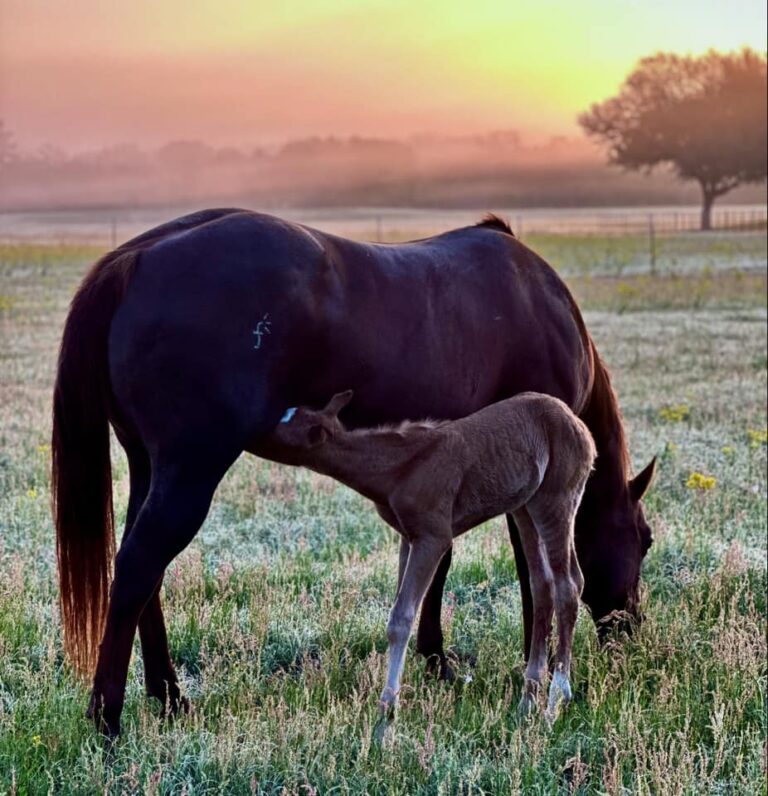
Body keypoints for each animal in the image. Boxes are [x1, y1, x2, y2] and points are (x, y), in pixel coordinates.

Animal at [261, 389, 597, 728]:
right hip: (524, 506)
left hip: (555, 498)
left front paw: (386, 717)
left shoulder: (432, 536)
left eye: (284, 426)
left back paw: (555, 701)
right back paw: (527, 701)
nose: (257, 427)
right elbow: (399, 607)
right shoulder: (407, 538)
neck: (398, 466)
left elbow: (401, 618)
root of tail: (580, 427)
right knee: (542, 584)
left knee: (568, 585)